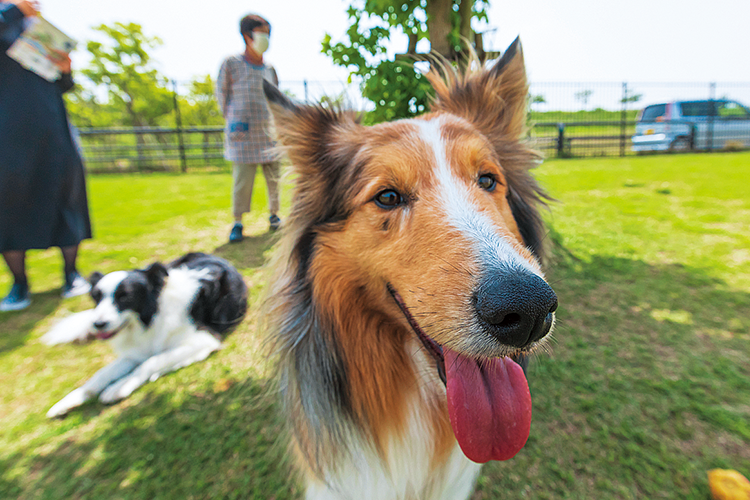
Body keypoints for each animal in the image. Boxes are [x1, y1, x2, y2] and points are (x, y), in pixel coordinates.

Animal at [42, 252, 248, 420]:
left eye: (125, 297)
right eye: (96, 297)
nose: (97, 324)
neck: (151, 317)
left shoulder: (204, 339)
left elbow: (151, 361)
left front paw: (118, 387)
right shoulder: (135, 350)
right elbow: (101, 374)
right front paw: (70, 400)